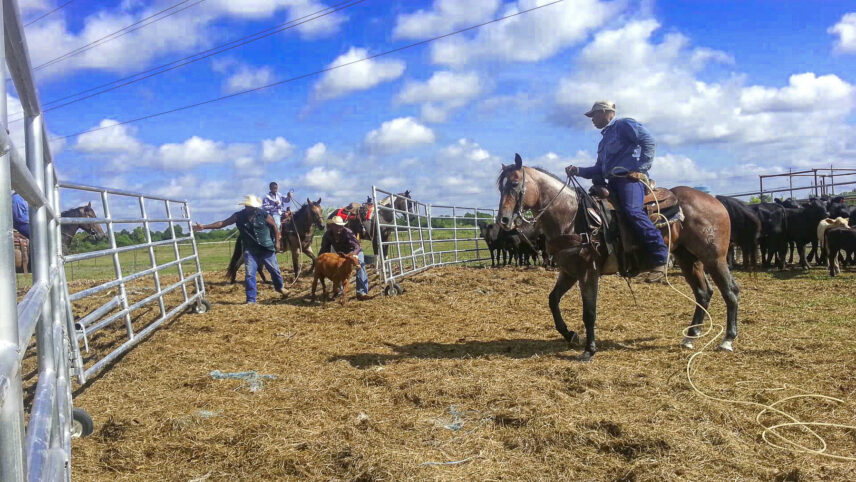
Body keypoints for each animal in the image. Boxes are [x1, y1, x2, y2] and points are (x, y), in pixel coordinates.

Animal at [494, 154, 736, 362]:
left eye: (514, 183)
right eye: (500, 186)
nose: (503, 220)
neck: (571, 217)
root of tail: (715, 200)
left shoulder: (588, 273)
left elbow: (589, 312)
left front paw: (589, 350)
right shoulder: (569, 272)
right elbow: (553, 300)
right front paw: (571, 335)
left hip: (715, 258)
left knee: (730, 292)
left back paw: (727, 340)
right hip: (688, 259)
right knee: (703, 293)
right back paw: (690, 337)